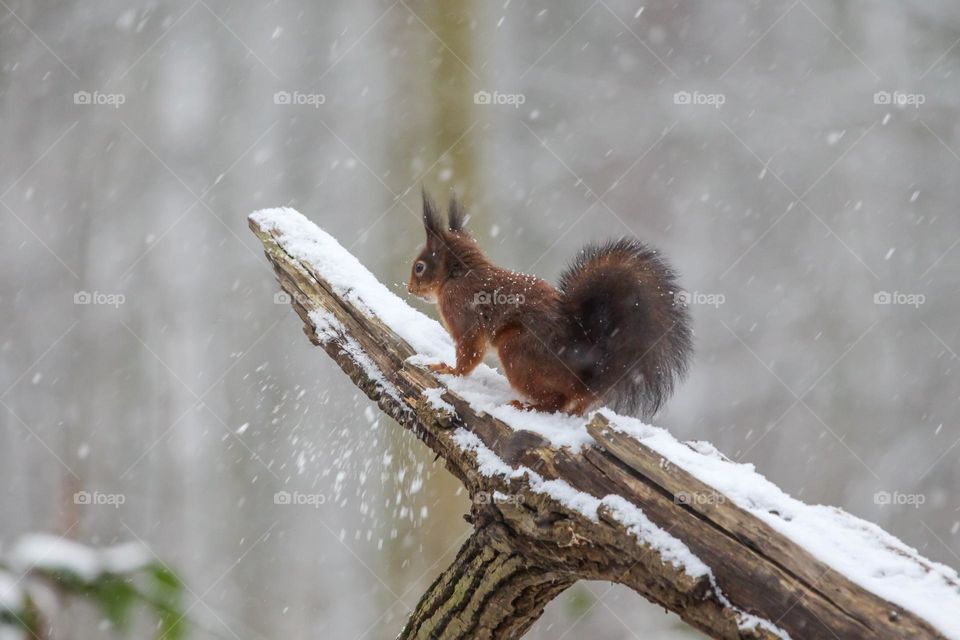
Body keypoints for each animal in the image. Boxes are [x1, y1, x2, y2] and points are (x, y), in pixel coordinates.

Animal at [406, 190, 688, 420]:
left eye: (419, 267)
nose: (409, 288)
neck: (459, 275)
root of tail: (587, 376)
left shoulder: (464, 315)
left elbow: (470, 352)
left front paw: (450, 370)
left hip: (516, 350)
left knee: (557, 402)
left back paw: (527, 406)